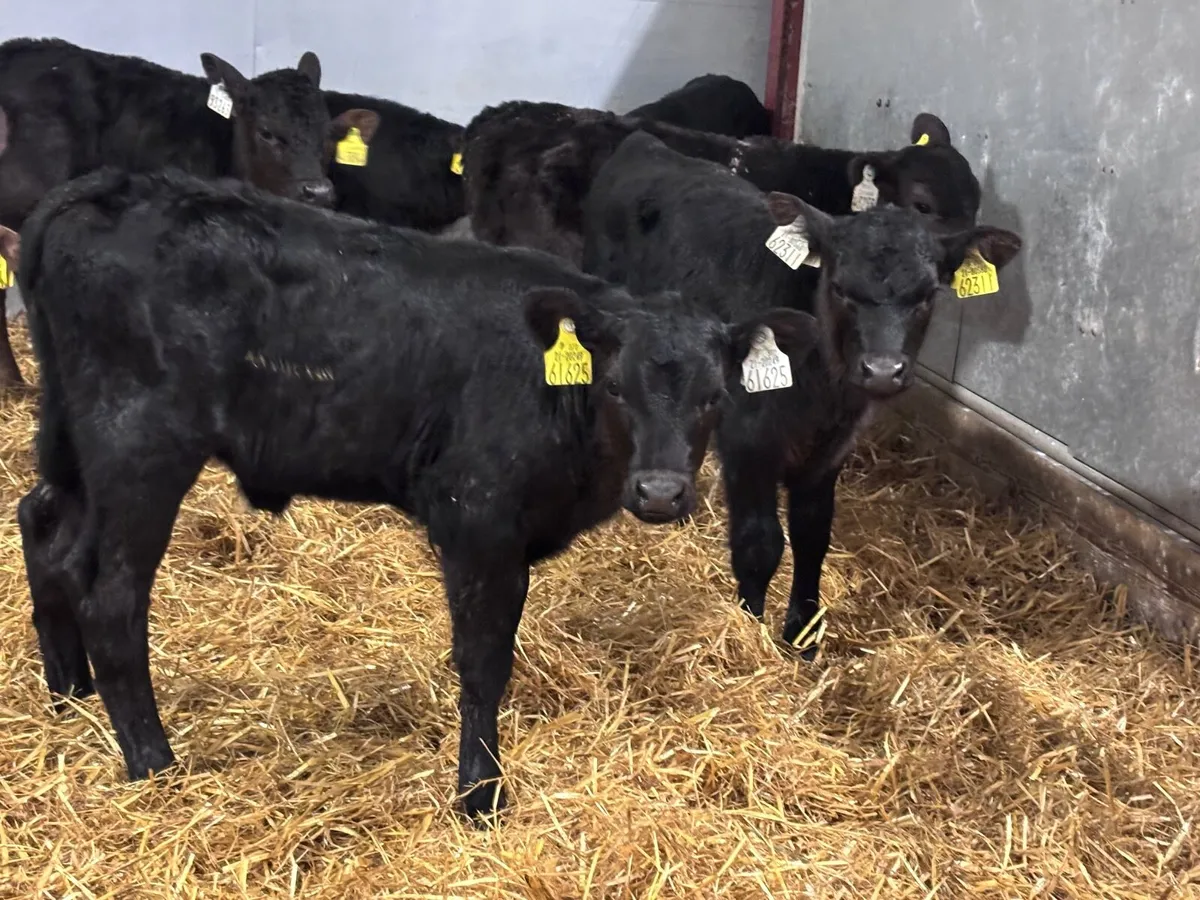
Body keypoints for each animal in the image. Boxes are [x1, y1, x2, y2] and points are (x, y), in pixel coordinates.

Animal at [8, 166, 816, 822]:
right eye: (615, 386)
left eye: (715, 397)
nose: (659, 492)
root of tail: (108, 186)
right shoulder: (478, 523)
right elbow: (485, 661)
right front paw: (481, 795)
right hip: (139, 449)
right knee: (111, 598)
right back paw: (153, 763)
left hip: (77, 444)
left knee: (46, 530)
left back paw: (69, 694)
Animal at [581, 131, 1022, 649]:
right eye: (840, 287)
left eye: (928, 294)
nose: (882, 370)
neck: (819, 383)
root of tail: (645, 142)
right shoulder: (748, 442)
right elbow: (760, 541)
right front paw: (751, 626)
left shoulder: (828, 451)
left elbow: (813, 535)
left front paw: (803, 632)